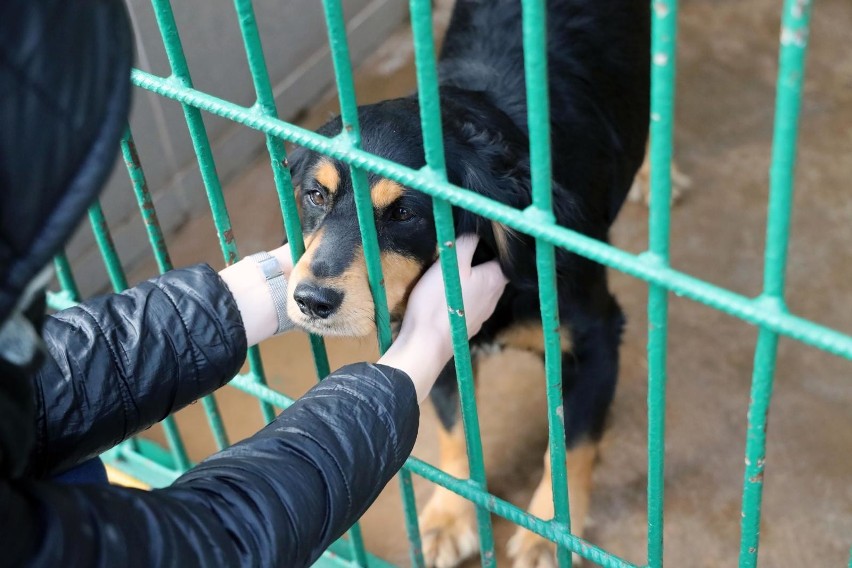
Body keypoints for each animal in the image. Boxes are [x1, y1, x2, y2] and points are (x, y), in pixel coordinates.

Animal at [282, 2, 648, 564]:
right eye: (315, 195)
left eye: (406, 212)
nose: (311, 301)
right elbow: (456, 434)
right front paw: (452, 514)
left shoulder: (597, 339)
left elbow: (570, 447)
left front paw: (548, 534)